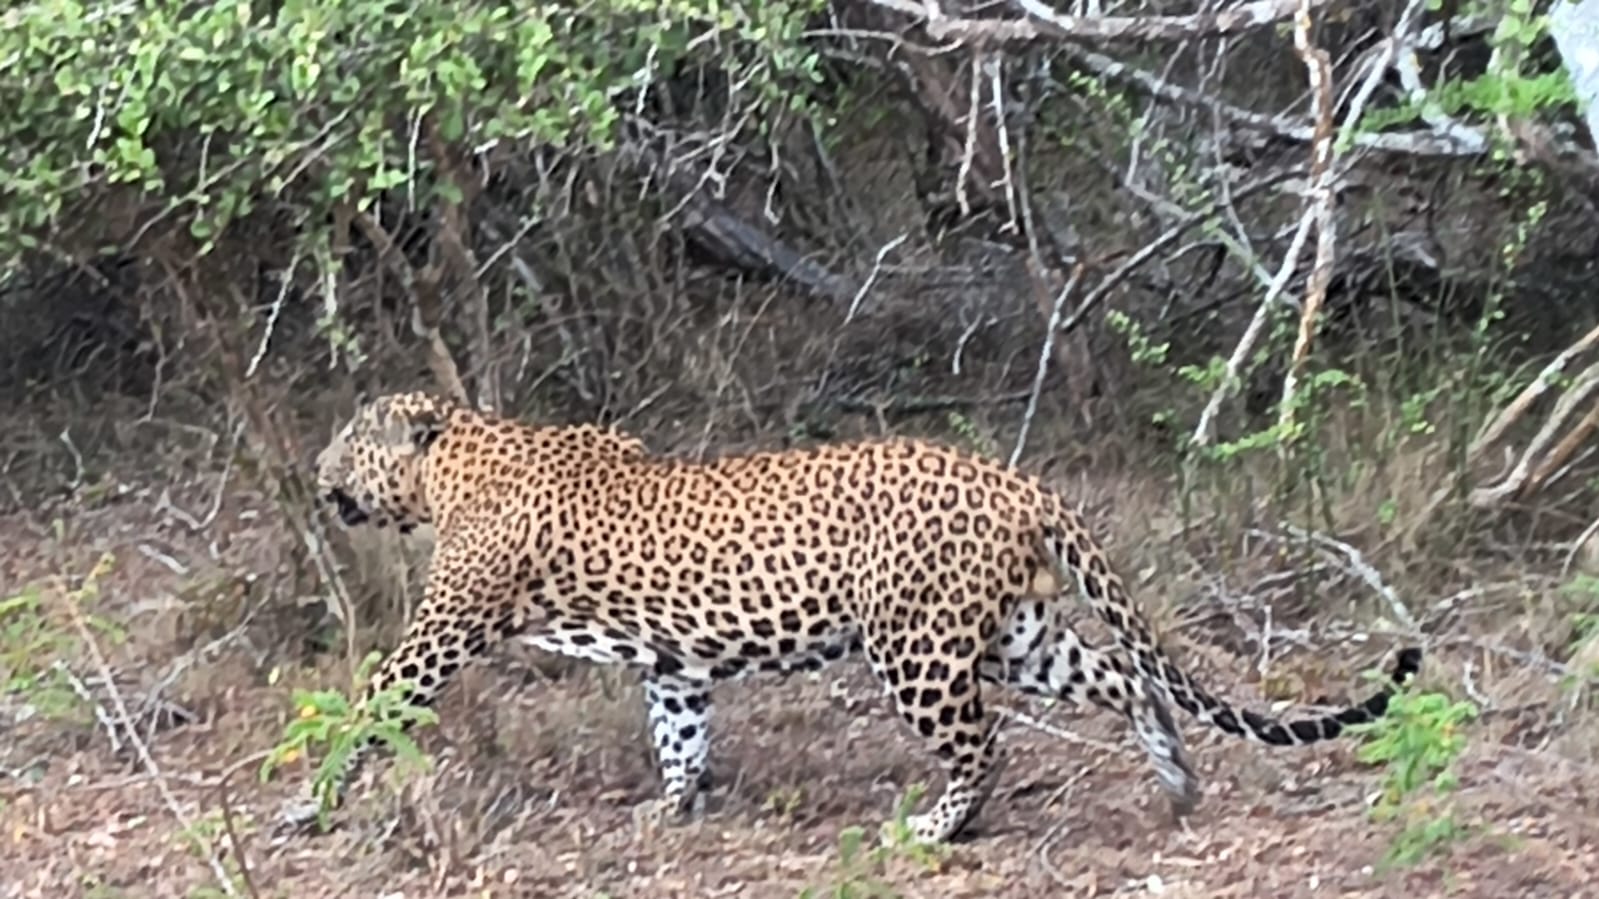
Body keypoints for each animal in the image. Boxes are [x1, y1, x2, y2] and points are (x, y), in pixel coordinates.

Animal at [284, 390, 1421, 844]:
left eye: (347, 434)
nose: (314, 468)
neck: (451, 467)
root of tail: (1016, 479)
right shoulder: (674, 660)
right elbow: (678, 732)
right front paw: (672, 807)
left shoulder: (441, 632)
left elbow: (368, 708)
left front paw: (303, 807)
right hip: (1015, 631)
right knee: (1125, 675)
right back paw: (1177, 781)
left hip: (916, 645)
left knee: (986, 742)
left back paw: (939, 827)